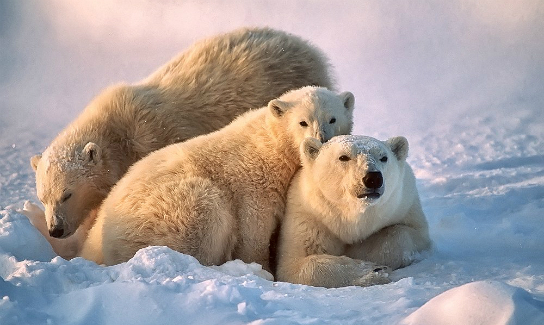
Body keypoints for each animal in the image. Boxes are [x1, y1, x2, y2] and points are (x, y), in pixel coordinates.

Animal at [27, 26, 338, 256]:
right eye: (43, 197)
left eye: (67, 193)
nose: (56, 229)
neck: (118, 131)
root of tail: (305, 46)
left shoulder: (156, 135)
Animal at [78, 85, 354, 270]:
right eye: (302, 122)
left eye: (333, 118)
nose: (322, 139)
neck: (271, 146)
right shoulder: (252, 183)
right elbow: (254, 229)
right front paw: (261, 268)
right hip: (167, 211)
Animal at [278, 135, 432, 288]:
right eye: (343, 157)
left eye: (384, 157)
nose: (373, 178)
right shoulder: (310, 217)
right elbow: (293, 265)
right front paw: (371, 271)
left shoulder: (403, 204)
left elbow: (407, 234)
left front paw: (366, 256)